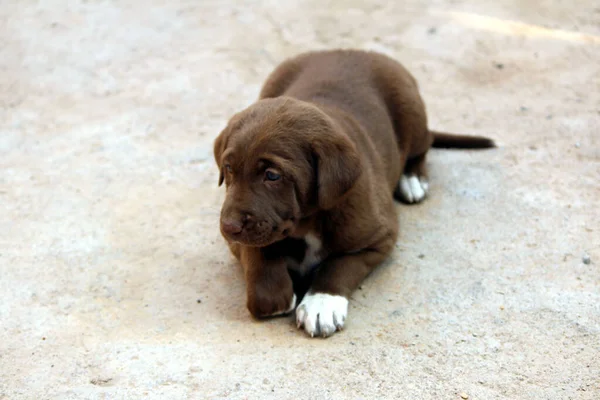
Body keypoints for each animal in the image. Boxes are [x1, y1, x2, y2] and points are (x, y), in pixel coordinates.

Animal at [213, 50, 494, 338]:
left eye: (272, 175)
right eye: (228, 168)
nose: (228, 226)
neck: (308, 222)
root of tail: (346, 50)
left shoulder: (378, 239)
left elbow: (339, 265)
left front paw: (321, 304)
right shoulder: (240, 240)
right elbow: (258, 253)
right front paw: (275, 294)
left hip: (411, 112)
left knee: (422, 146)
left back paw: (412, 179)